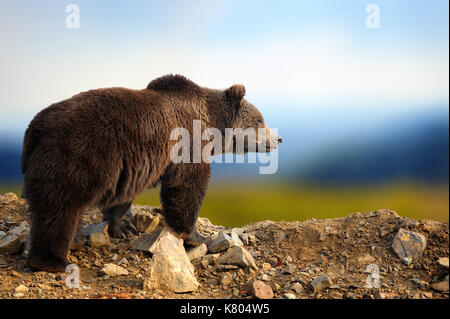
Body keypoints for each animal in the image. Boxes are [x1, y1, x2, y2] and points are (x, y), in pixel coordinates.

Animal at [22, 74, 282, 272]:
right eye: (260, 119)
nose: (278, 138)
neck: (212, 127)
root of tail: (35, 128)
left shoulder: (131, 166)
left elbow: (122, 197)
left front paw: (122, 228)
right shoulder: (185, 144)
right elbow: (187, 187)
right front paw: (197, 236)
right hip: (76, 156)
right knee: (60, 209)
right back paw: (53, 260)